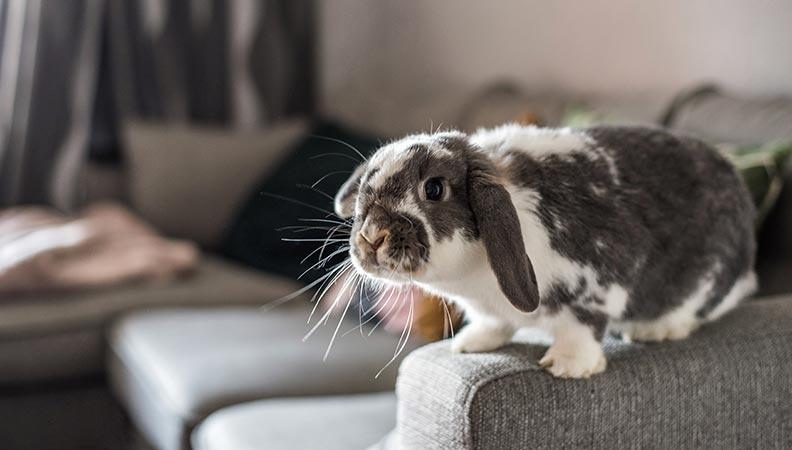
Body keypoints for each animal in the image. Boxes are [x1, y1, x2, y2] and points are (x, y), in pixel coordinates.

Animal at [333, 123, 757, 378]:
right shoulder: (489, 309)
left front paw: (568, 366)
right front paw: (471, 344)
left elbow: (582, 327)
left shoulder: (596, 281)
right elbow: (493, 323)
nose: (372, 237)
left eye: (434, 189)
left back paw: (657, 329)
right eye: (366, 186)